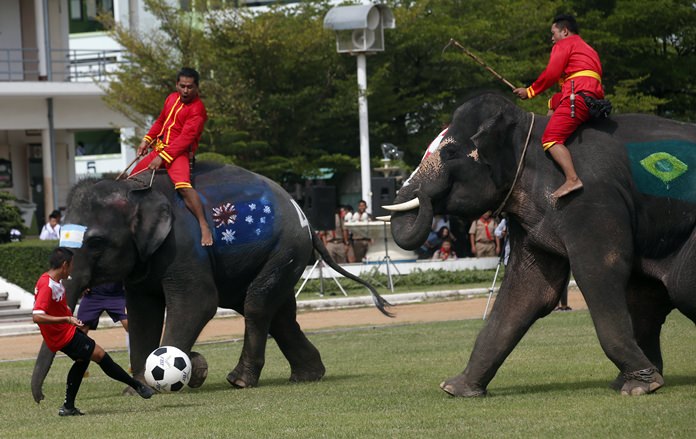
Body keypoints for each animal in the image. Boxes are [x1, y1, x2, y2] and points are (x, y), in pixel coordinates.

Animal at [32, 162, 391, 402]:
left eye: (96, 242)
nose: (40, 398)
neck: (134, 188)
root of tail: (307, 219)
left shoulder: (183, 245)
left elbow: (197, 302)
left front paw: (184, 371)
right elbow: (142, 314)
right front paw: (141, 386)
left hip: (286, 248)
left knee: (257, 306)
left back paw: (241, 381)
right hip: (278, 256)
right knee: (281, 314)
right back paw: (307, 376)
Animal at [384, 92, 696, 397]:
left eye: (449, 153)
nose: (423, 195)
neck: (529, 131)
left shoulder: (589, 200)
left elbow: (599, 272)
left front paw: (642, 386)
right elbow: (528, 289)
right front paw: (455, 388)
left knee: (679, 289)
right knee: (648, 296)